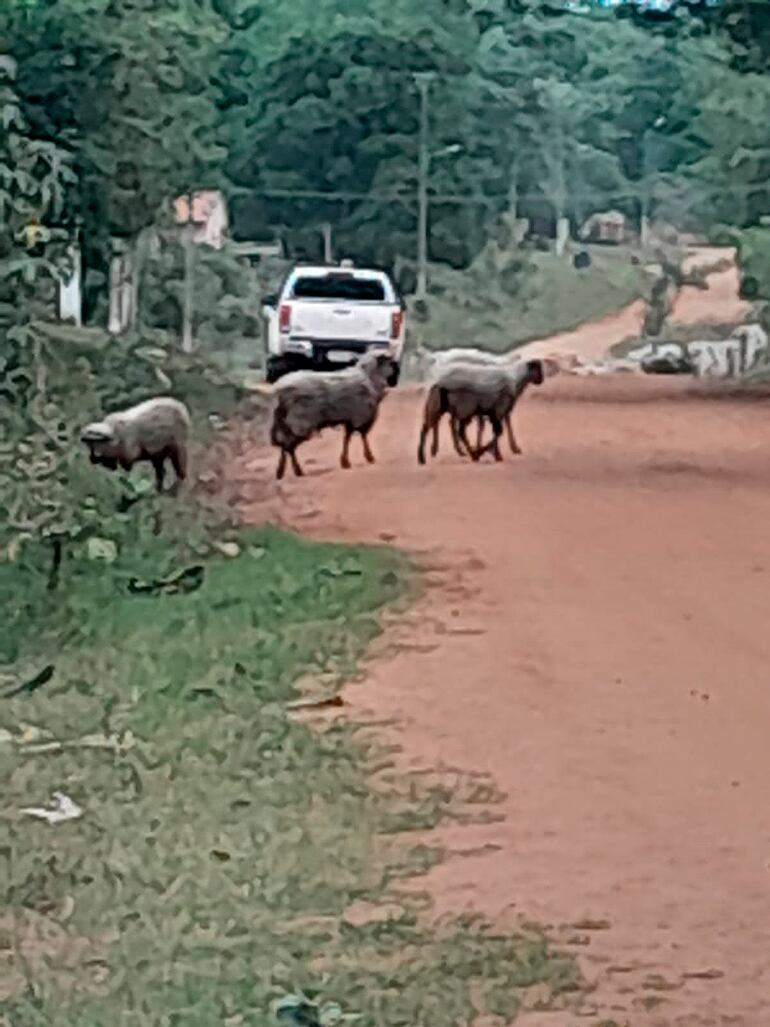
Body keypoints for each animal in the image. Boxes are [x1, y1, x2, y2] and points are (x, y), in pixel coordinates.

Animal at [268, 347, 398, 478]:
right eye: (391, 363)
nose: (395, 381)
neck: (370, 377)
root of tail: (279, 390)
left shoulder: (351, 418)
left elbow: (347, 438)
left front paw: (345, 461)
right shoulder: (361, 416)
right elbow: (362, 437)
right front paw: (369, 457)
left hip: (284, 421)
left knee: (284, 444)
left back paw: (280, 471)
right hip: (300, 421)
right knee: (288, 445)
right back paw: (297, 470)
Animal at [418, 357, 546, 462]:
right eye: (538, 368)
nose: (541, 380)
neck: (516, 380)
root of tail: (439, 383)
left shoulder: (489, 412)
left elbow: (489, 429)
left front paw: (498, 451)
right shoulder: (498, 410)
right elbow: (498, 430)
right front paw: (495, 453)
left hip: (441, 407)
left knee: (432, 425)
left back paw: (429, 454)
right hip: (463, 410)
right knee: (457, 430)